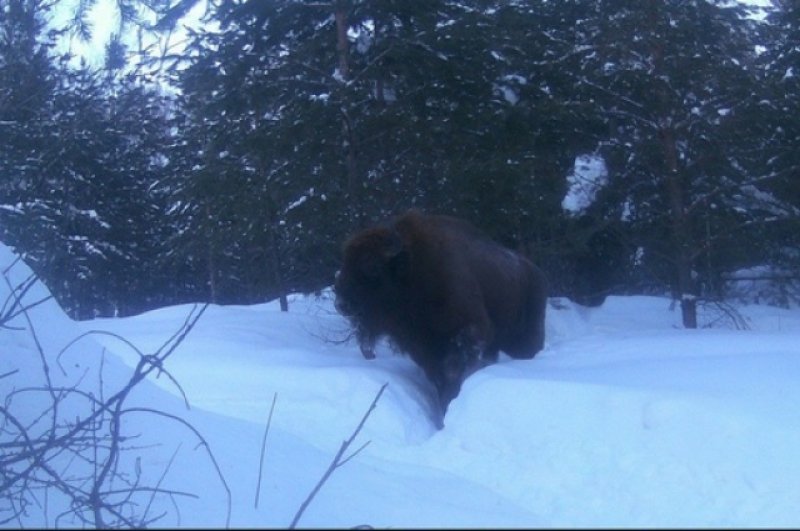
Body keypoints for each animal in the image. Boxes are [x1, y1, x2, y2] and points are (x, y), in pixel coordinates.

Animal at [334, 208, 548, 428]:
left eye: (372, 266)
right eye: (345, 262)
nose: (341, 304)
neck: (412, 272)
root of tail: (536, 273)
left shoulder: (466, 335)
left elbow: (453, 374)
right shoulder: (424, 349)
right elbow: (439, 380)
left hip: (523, 339)